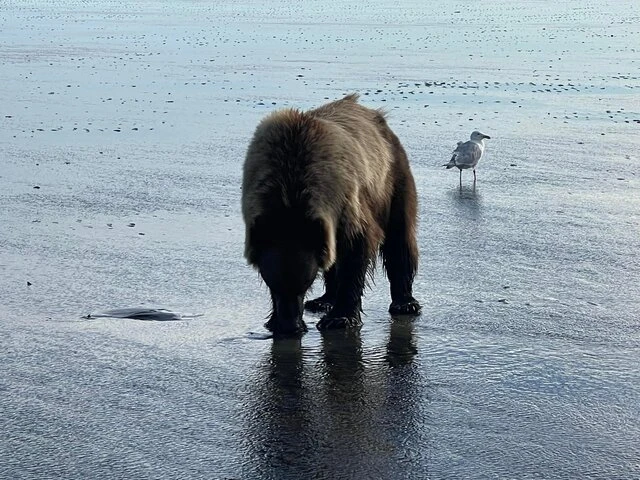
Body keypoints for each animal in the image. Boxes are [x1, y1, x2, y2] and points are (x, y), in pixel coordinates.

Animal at [242, 94, 421, 335]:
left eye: (305, 283)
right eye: (272, 283)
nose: (290, 327)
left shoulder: (347, 201)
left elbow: (356, 251)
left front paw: (340, 318)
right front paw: (274, 319)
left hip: (392, 178)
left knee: (399, 237)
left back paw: (405, 302)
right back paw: (323, 300)